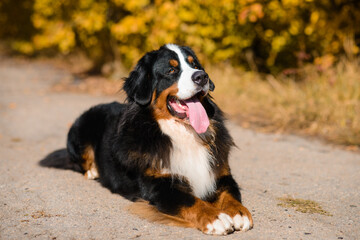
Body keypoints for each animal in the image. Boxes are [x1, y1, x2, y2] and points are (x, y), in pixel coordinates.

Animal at [40, 44, 253, 235]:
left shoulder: (220, 172)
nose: (201, 76)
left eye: (195, 65)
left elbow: (230, 194)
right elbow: (191, 201)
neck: (182, 133)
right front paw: (216, 218)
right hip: (79, 129)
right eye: (171, 70)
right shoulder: (158, 186)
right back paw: (93, 171)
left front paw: (239, 213)